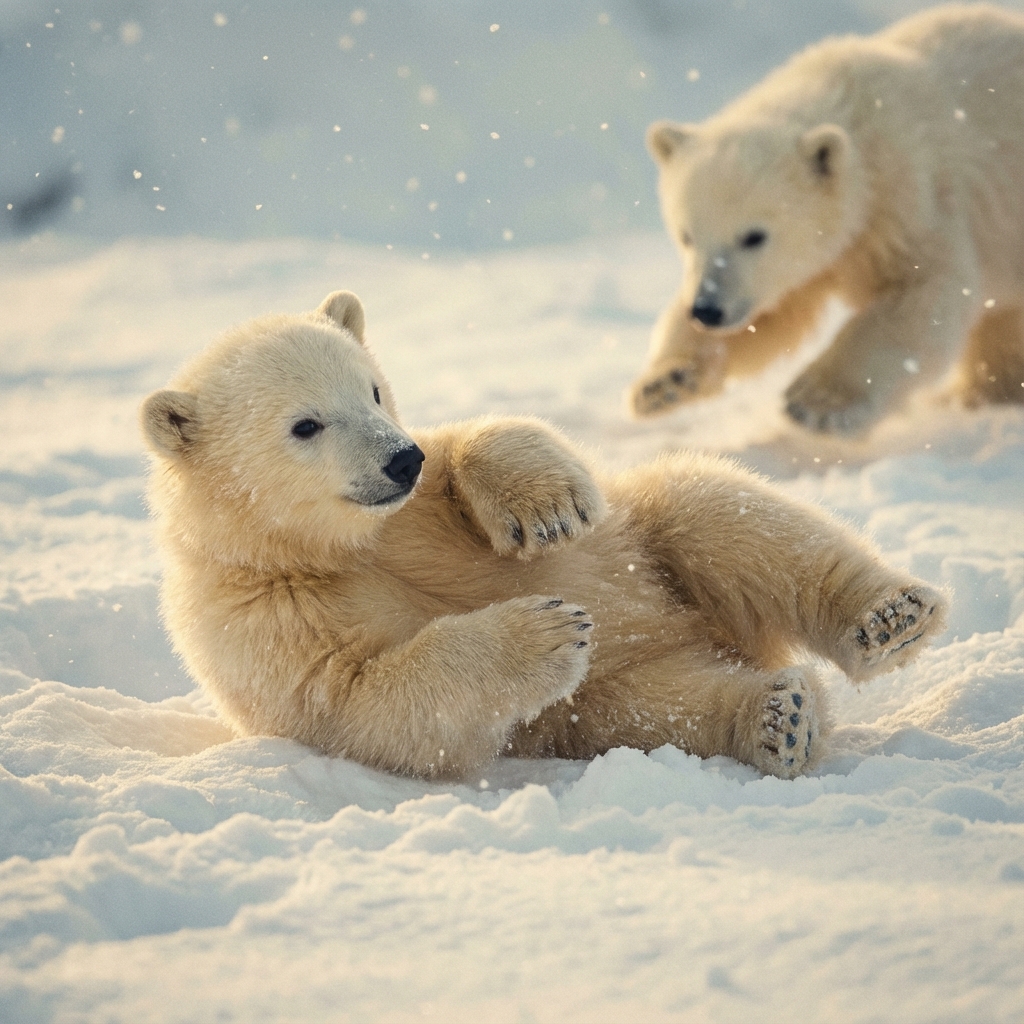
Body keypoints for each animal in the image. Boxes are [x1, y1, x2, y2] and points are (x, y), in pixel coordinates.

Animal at [141, 290, 948, 780]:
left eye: (372, 388)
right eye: (305, 424)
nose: (398, 459)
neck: (329, 546)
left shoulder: (417, 509)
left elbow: (476, 442)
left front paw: (550, 510)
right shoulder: (265, 620)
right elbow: (372, 702)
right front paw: (548, 632)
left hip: (649, 547)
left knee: (721, 515)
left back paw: (888, 617)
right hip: (604, 702)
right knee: (656, 704)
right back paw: (777, 717)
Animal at [630, 3, 1024, 433]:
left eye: (754, 236)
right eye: (686, 236)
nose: (706, 310)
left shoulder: (912, 200)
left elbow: (920, 293)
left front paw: (815, 402)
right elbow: (774, 313)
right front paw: (664, 382)